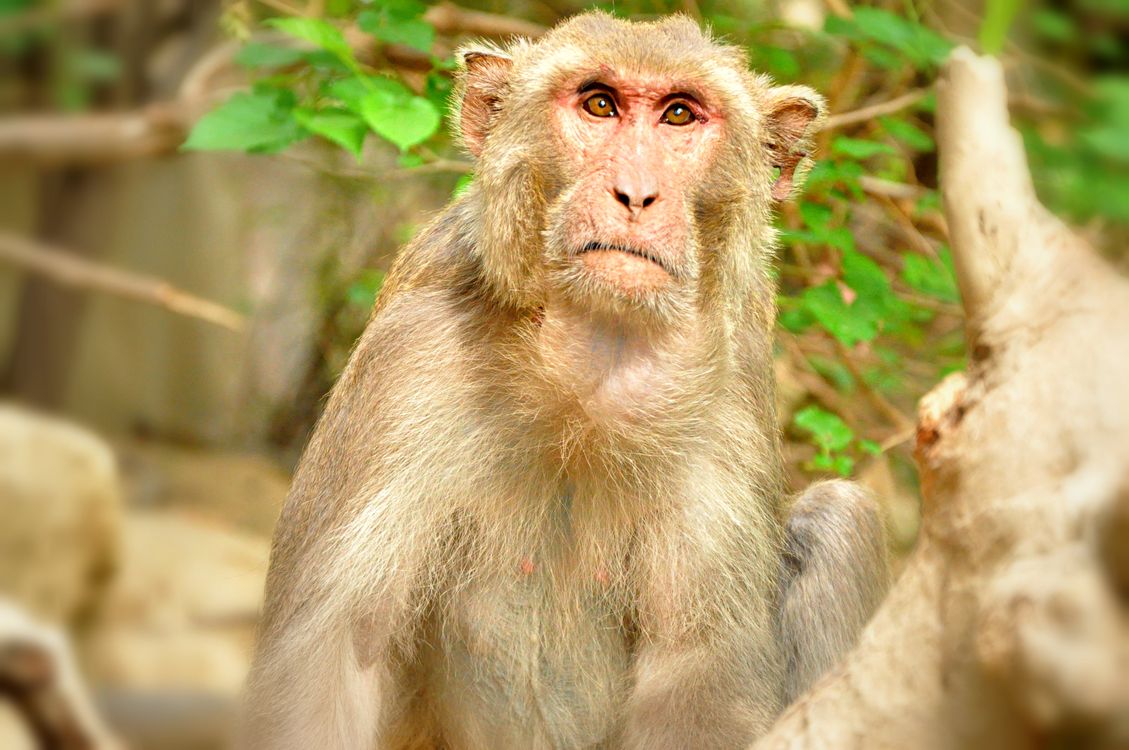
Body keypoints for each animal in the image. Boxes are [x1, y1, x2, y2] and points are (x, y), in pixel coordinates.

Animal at [244, 12, 890, 750]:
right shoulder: (410, 360)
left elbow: (699, 683)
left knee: (840, 517)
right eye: (599, 105)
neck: (591, 369)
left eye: (678, 115)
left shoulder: (726, 396)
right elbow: (331, 658)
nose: (635, 193)